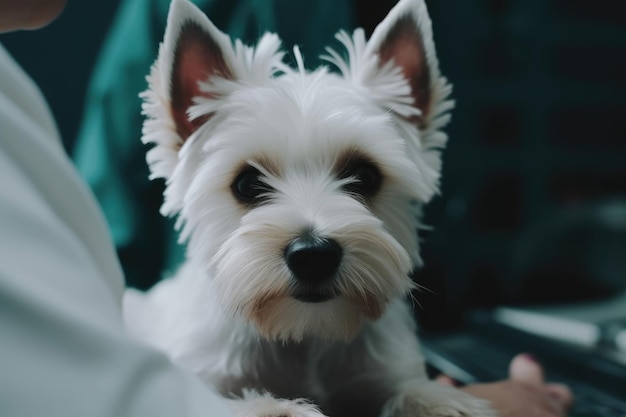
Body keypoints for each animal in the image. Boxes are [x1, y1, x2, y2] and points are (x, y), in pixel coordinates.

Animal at [123, 0, 498, 414]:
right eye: (247, 183)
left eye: (365, 176)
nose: (313, 255)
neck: (305, 334)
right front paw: (278, 406)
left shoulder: (385, 371)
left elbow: (410, 389)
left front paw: (442, 400)